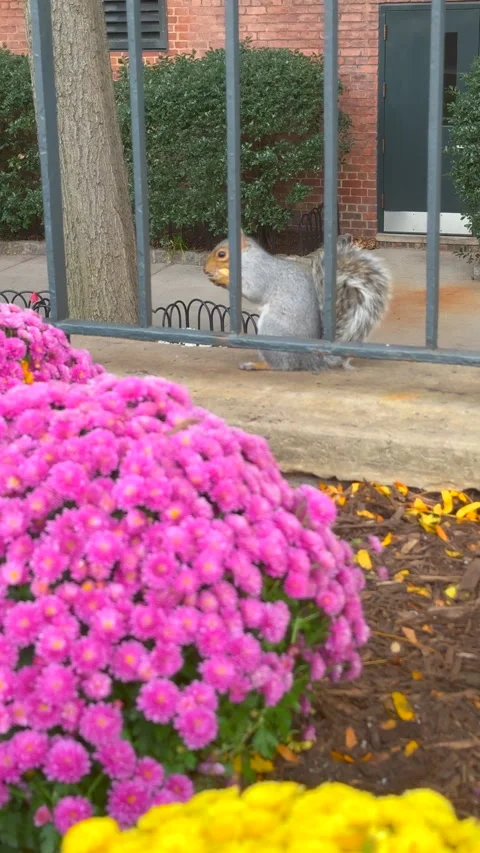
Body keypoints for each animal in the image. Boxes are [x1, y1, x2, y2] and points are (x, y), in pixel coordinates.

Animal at [203, 231, 392, 372]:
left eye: (221, 254)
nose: (205, 270)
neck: (247, 258)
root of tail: (308, 358)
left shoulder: (260, 274)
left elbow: (253, 291)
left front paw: (222, 277)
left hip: (272, 330)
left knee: (282, 365)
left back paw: (257, 365)